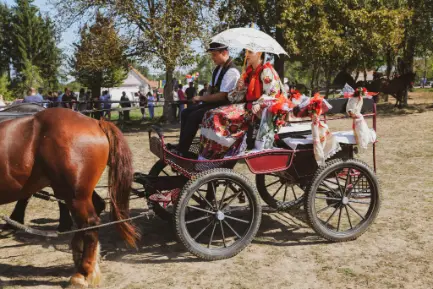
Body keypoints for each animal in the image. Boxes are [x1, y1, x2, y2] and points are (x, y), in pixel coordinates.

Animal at [0, 107, 138, 286]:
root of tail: (96, 122)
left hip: (75, 194)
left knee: (89, 224)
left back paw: (83, 273)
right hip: (74, 191)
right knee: (92, 212)